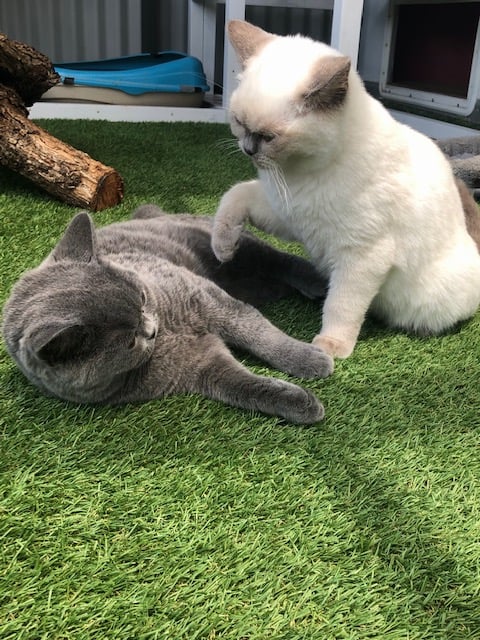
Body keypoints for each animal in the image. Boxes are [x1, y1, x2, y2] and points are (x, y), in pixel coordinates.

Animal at [1, 206, 334, 424]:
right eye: (129, 342)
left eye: (143, 298)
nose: (150, 330)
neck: (170, 332)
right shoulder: (199, 368)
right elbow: (244, 387)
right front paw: (302, 403)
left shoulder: (207, 297)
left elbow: (259, 333)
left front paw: (310, 360)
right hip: (256, 284)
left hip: (235, 249)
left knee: (283, 259)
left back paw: (321, 283)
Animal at [213, 20, 480, 358]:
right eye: (239, 122)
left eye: (269, 137)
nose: (248, 150)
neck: (302, 175)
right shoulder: (286, 215)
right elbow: (234, 196)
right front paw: (223, 248)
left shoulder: (361, 256)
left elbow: (341, 305)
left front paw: (331, 347)